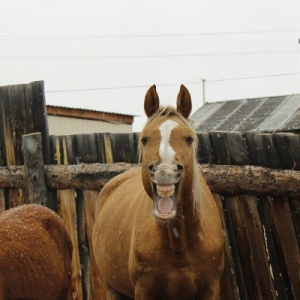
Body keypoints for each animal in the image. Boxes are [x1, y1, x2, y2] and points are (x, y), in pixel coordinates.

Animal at [92, 85, 224, 300]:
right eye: (145, 139)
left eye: (189, 139)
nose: (165, 171)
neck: (180, 244)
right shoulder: (145, 290)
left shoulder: (211, 289)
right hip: (112, 287)